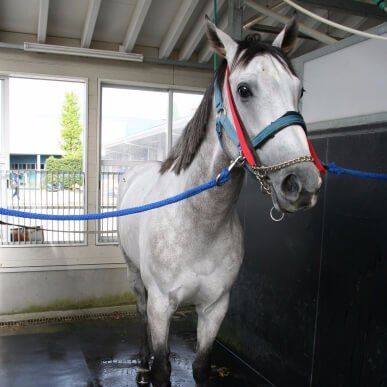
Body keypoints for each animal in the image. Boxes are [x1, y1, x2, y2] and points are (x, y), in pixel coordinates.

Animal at [117, 18, 322, 387]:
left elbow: (201, 365)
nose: (302, 183)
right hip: (134, 273)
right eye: (244, 90)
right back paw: (141, 357)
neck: (199, 223)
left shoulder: (215, 308)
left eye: (299, 91)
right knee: (140, 311)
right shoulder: (161, 306)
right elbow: (161, 368)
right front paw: (152, 363)